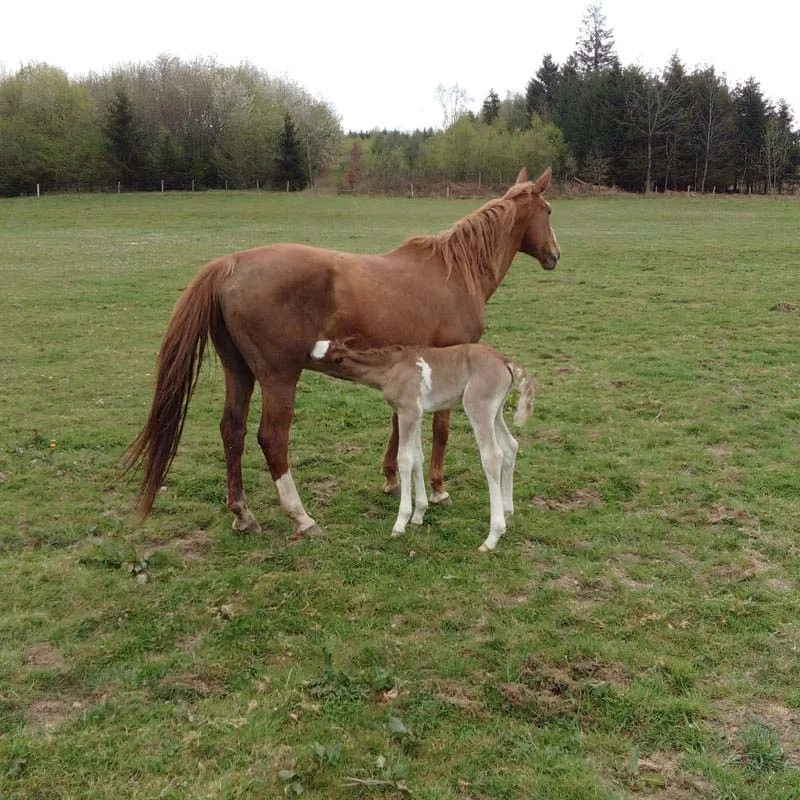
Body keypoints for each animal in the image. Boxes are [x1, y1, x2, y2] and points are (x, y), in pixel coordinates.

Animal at [310, 338, 532, 552]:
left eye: (328, 356)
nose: (304, 360)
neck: (391, 367)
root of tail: (505, 361)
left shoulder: (407, 412)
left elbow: (404, 459)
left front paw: (400, 523)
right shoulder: (416, 414)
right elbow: (417, 458)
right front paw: (419, 514)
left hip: (478, 407)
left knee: (492, 456)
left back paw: (492, 537)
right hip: (497, 411)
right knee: (511, 446)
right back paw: (507, 511)